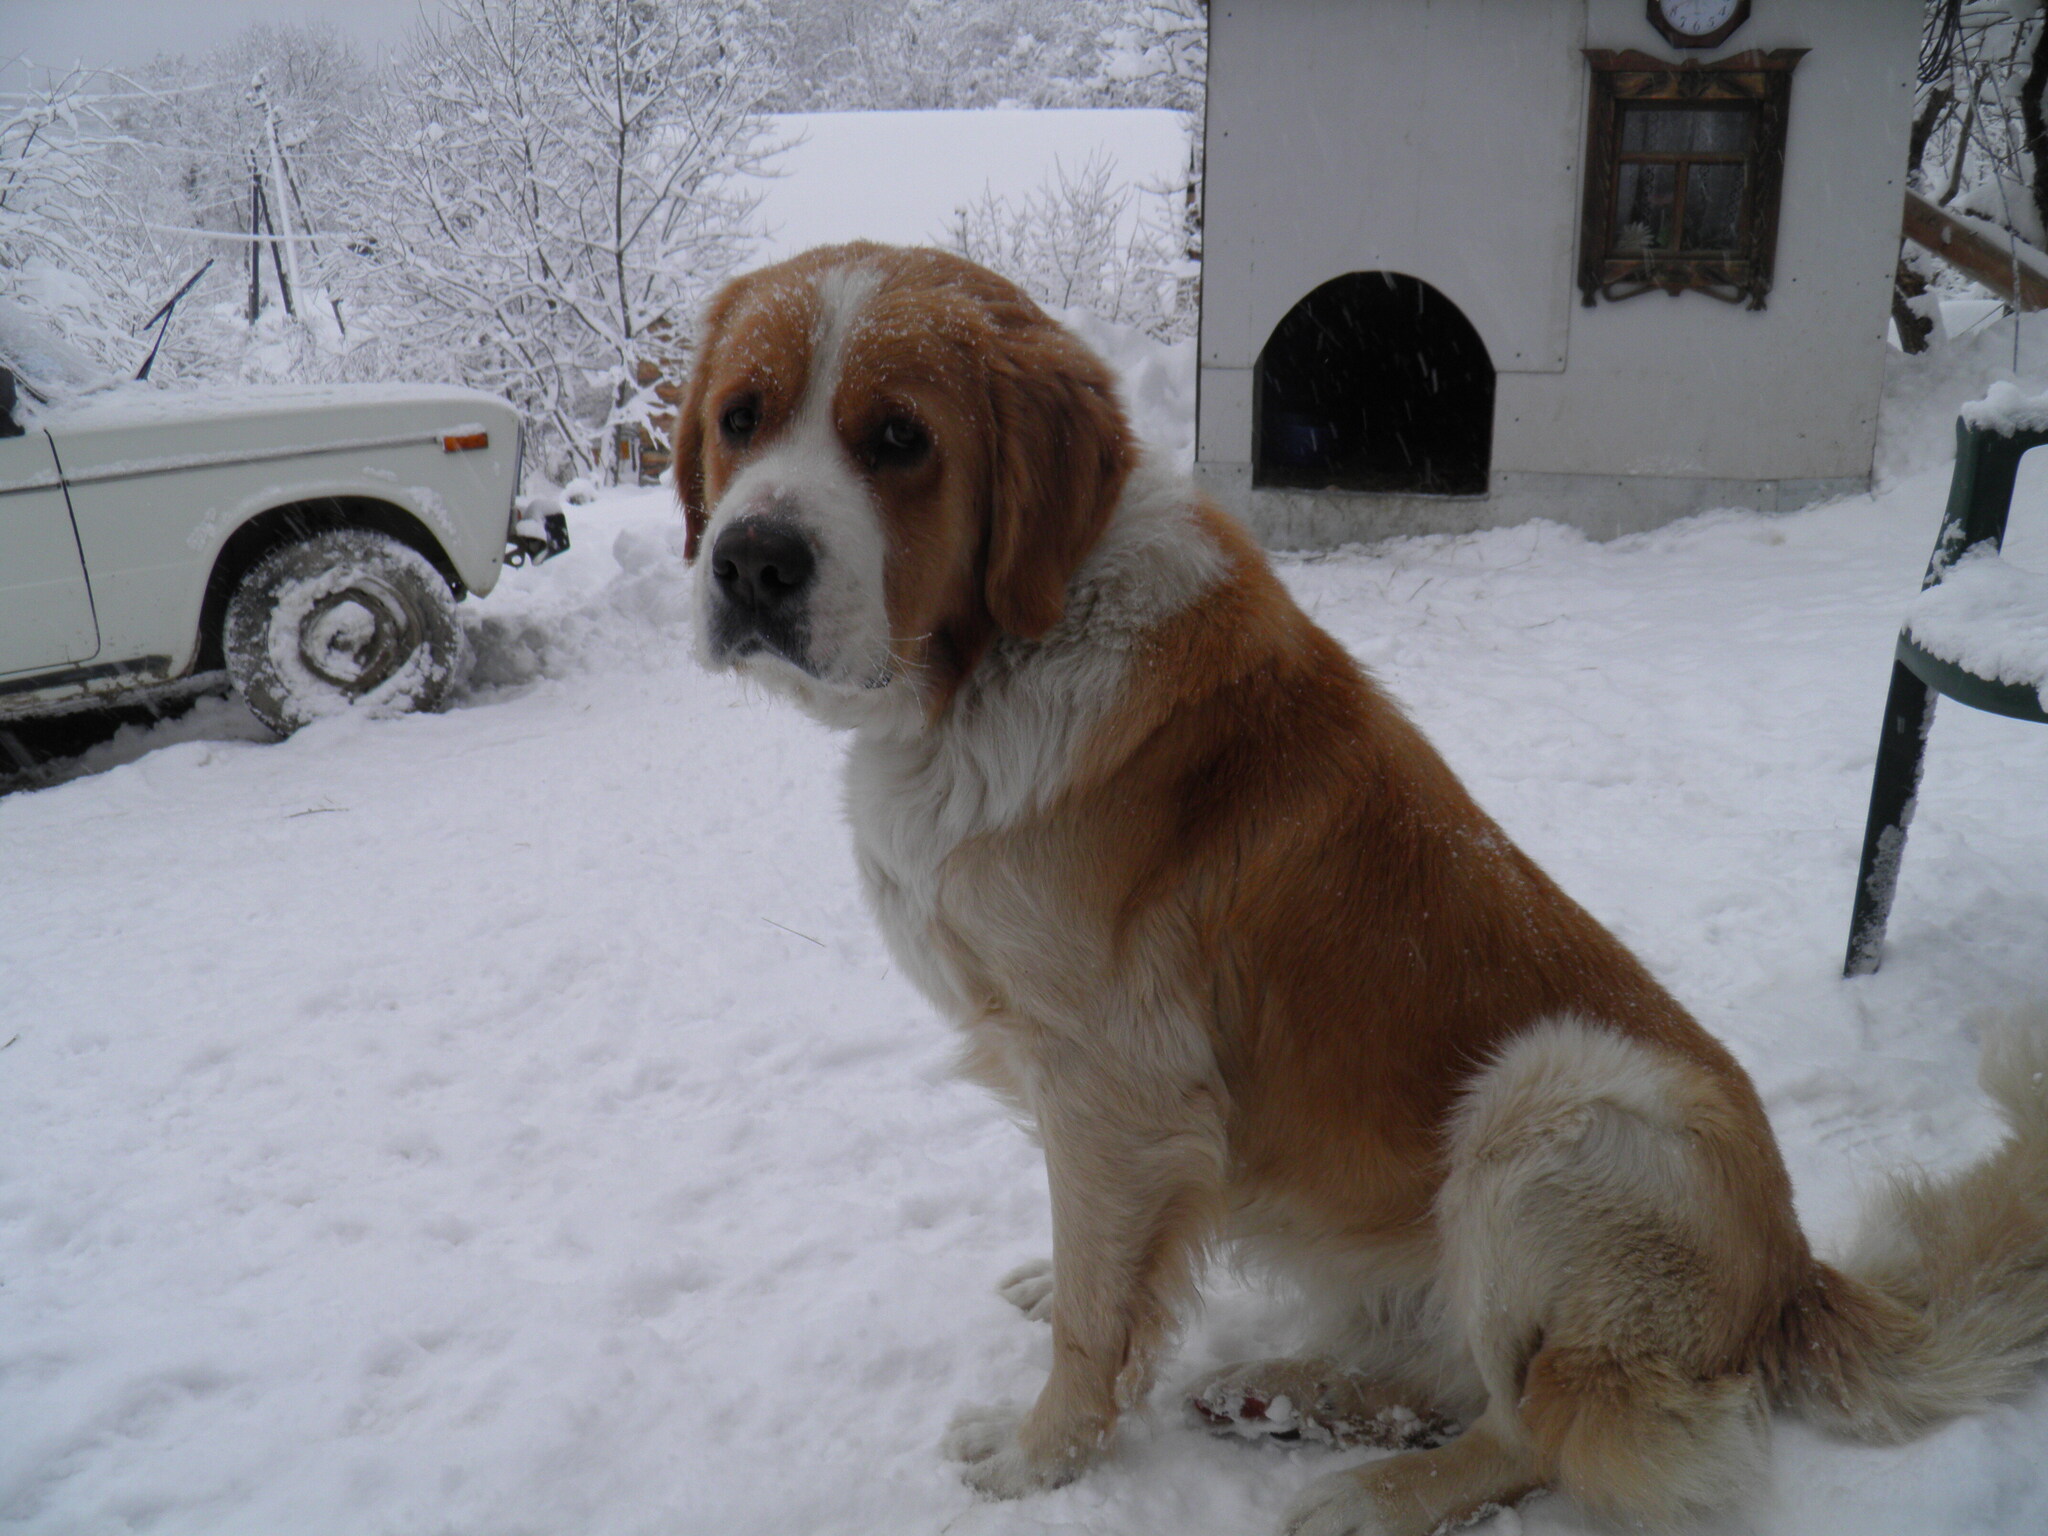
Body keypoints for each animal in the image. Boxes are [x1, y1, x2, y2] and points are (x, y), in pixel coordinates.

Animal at [675, 243, 2048, 1536]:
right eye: (741, 417)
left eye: (897, 440)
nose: (750, 565)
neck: (996, 659)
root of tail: (1792, 1278)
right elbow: (1084, 1266)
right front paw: (1043, 1295)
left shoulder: (1116, 1085)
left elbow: (1096, 1316)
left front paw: (1038, 1455)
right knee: (1458, 1379)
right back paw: (1286, 1398)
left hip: (1554, 1102)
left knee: (1536, 1426)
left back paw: (1370, 1491)